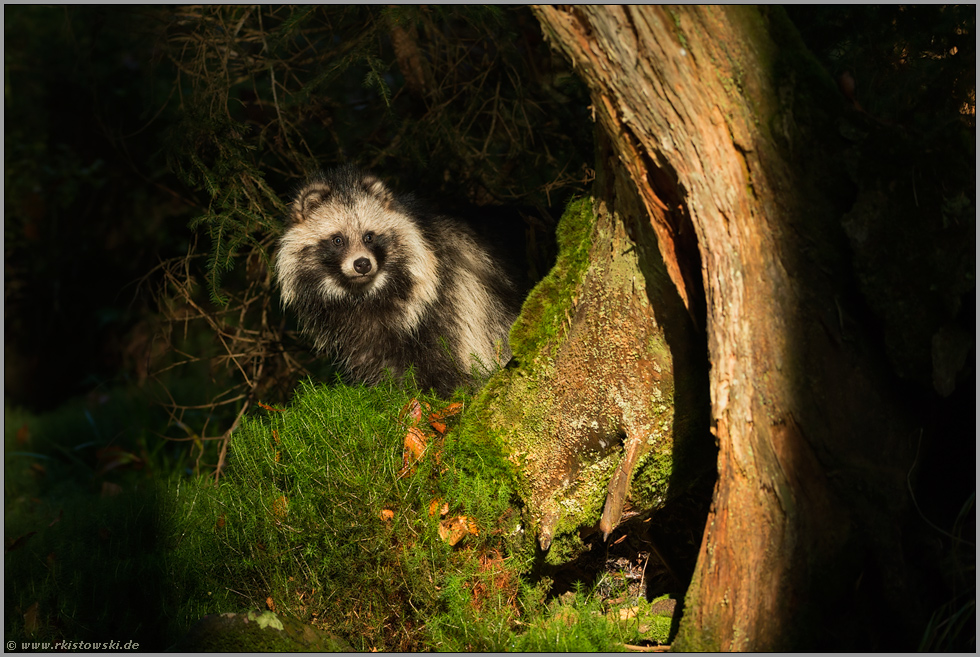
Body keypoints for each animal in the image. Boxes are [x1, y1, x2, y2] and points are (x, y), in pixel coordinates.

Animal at [272, 167, 524, 398]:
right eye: (337, 240)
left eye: (369, 236)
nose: (362, 264)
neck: (363, 295)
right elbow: (371, 358)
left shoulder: (441, 298)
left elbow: (444, 358)